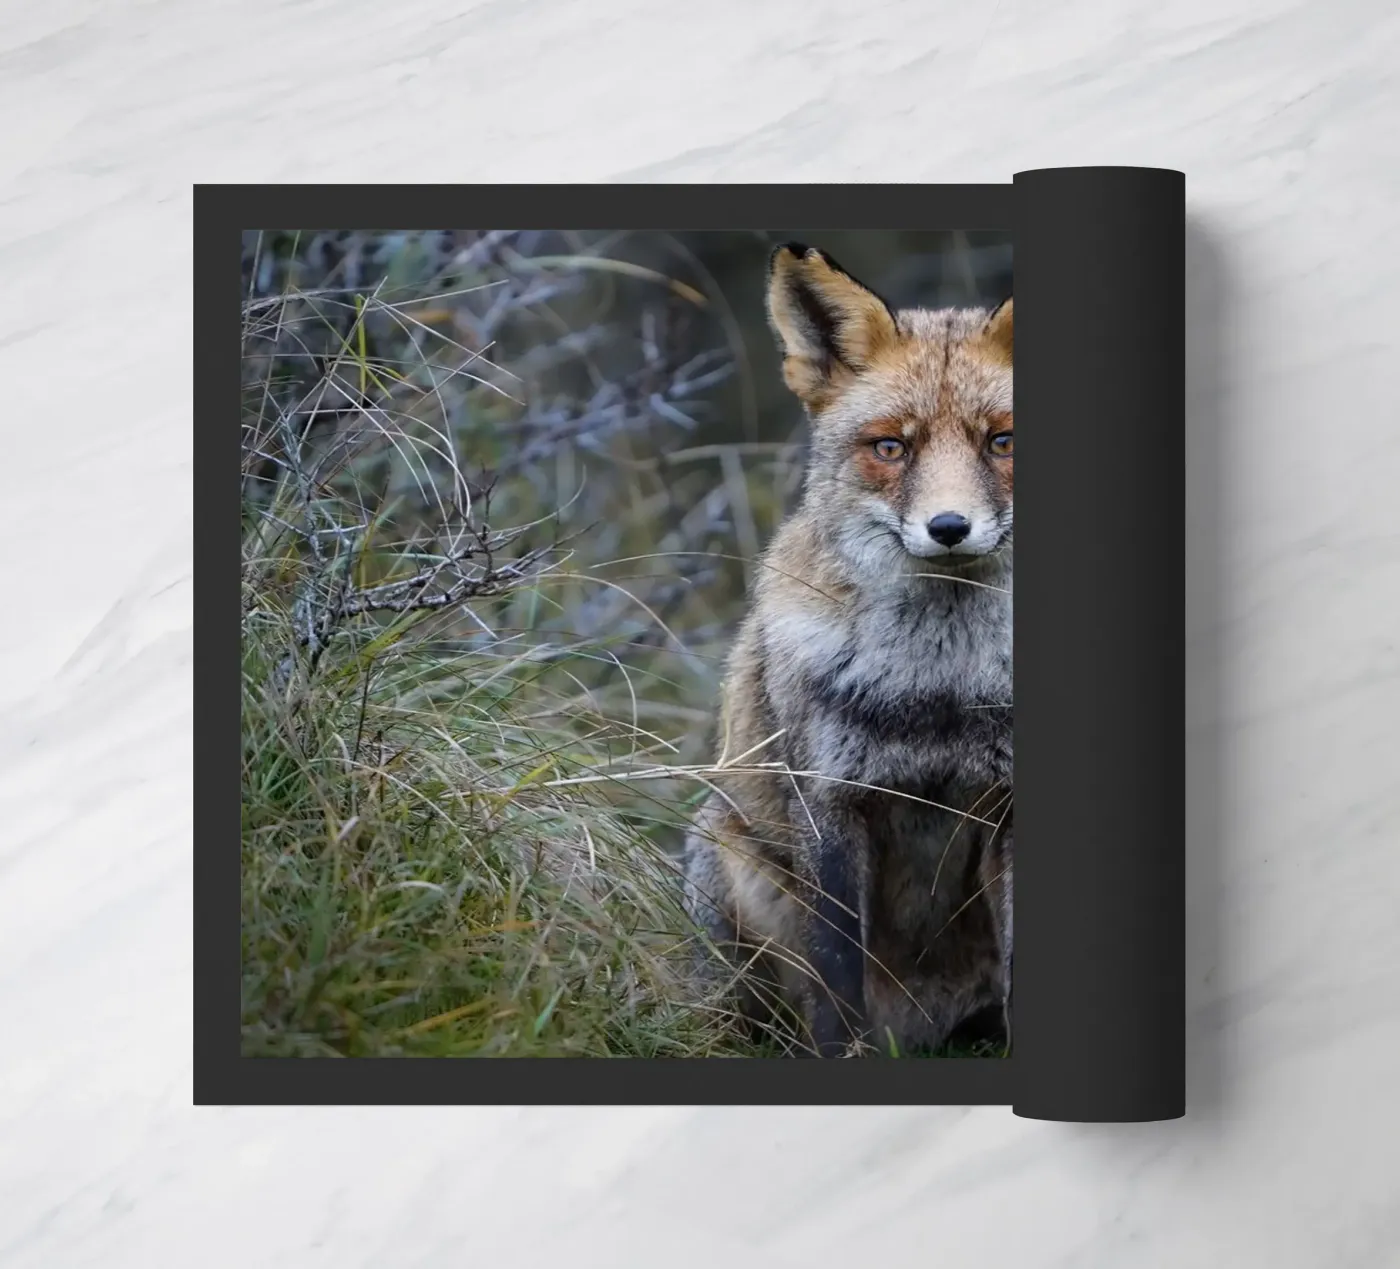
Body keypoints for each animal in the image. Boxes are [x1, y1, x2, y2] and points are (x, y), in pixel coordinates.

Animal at [682, 242, 1014, 1057]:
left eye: (1002, 441)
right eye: (890, 447)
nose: (949, 527)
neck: (939, 686)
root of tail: (924, 1031)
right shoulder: (829, 803)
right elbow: (838, 986)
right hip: (724, 865)